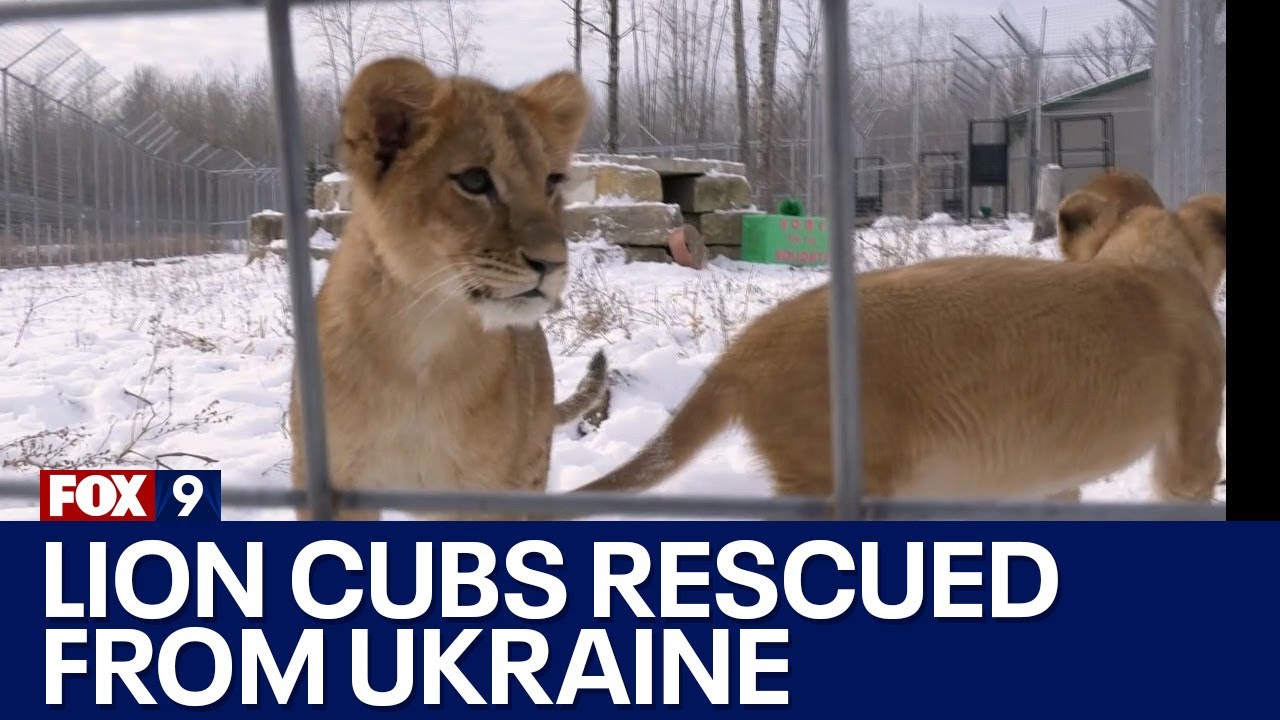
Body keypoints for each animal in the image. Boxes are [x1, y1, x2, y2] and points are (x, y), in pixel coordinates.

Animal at [289, 57, 608, 520]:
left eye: (551, 182)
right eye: (474, 181)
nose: (553, 263)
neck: (422, 341)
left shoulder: (486, 492)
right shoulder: (331, 486)